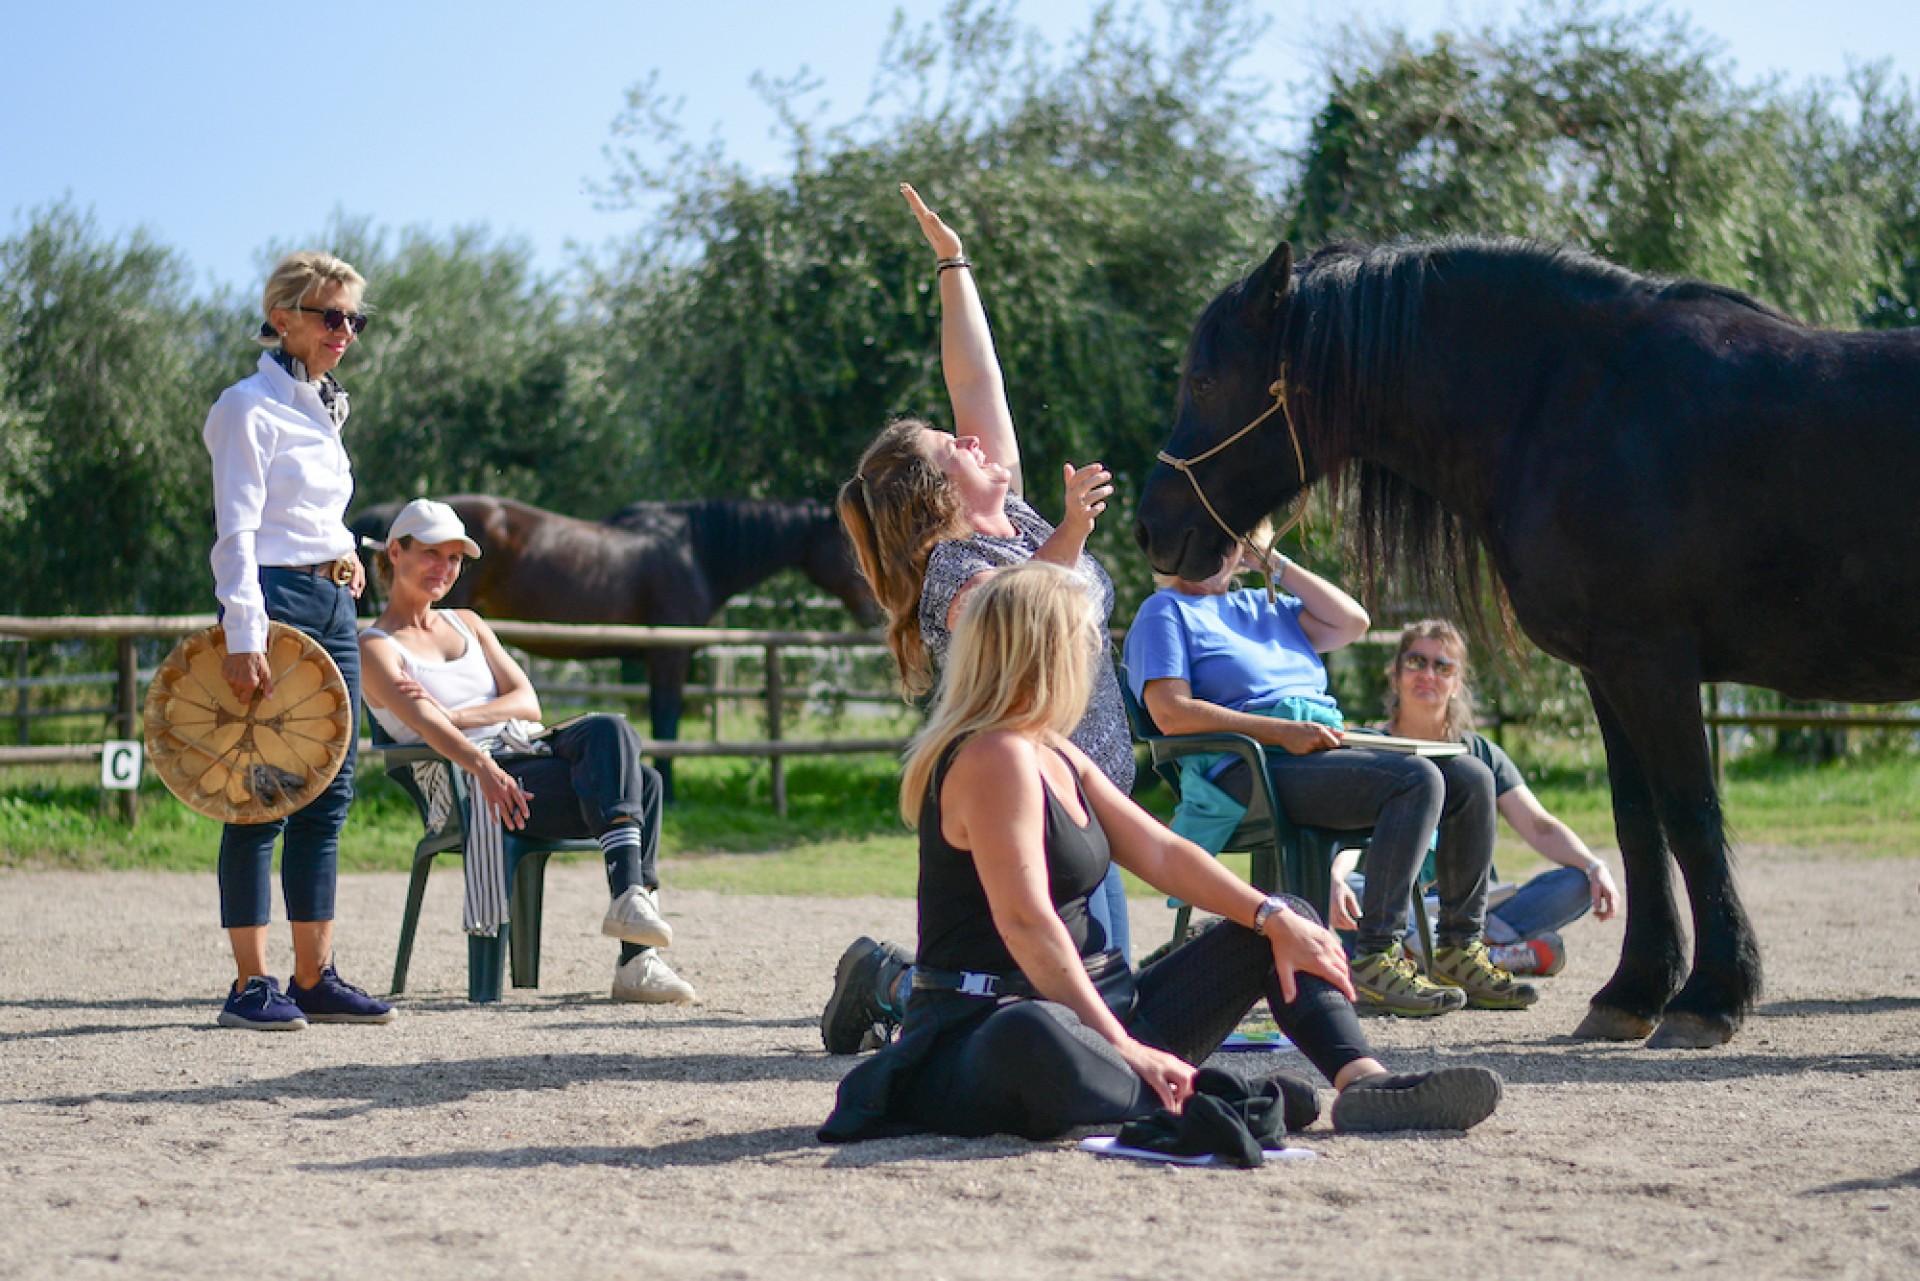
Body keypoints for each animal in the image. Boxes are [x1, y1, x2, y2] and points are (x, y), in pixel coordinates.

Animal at [351, 495, 879, 795]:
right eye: (847, 539)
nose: (877, 608)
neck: (695, 551)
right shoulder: (669, 655)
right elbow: (667, 722)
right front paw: (672, 786)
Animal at [1128, 238, 1920, 1052]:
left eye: (1205, 379)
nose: (1151, 528)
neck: (1579, 402)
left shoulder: (1653, 663)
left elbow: (1691, 817)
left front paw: (1710, 997)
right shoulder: (1611, 670)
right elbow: (1639, 824)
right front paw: (1634, 992)